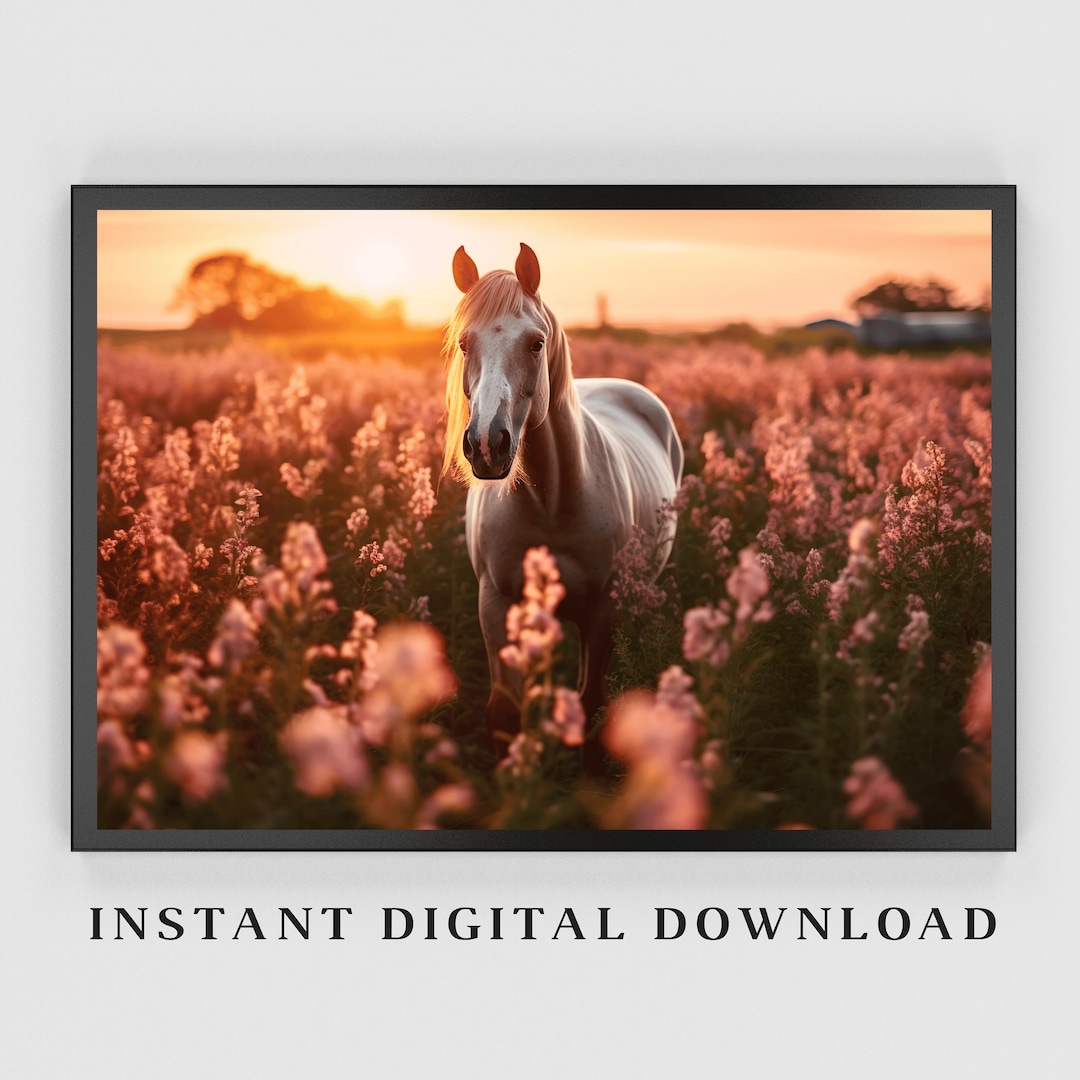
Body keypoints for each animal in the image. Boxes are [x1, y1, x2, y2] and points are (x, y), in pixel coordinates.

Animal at [443, 243, 683, 766]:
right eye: (465, 344)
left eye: (536, 343)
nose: (487, 444)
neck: (548, 503)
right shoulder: (495, 603)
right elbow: (505, 713)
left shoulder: (602, 610)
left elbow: (591, 704)